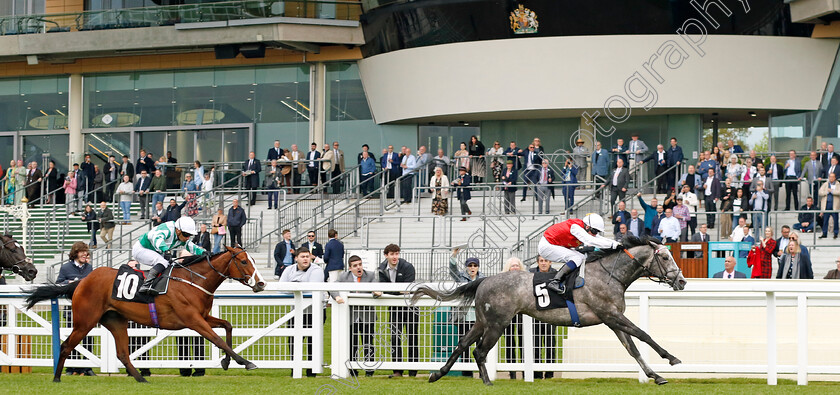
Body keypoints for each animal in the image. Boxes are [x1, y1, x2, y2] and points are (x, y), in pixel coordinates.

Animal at [23, 248, 266, 384]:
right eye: (244, 261)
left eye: (252, 260)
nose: (261, 283)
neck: (193, 280)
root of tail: (82, 281)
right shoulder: (193, 320)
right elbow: (216, 339)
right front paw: (245, 362)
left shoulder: (203, 317)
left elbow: (227, 326)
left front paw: (226, 361)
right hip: (85, 321)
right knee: (66, 346)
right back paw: (56, 378)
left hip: (115, 321)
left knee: (122, 353)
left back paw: (141, 378)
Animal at [414, 237, 688, 386]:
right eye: (665, 257)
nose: (682, 281)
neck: (609, 276)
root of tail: (484, 280)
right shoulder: (611, 315)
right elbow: (643, 335)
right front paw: (672, 359)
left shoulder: (612, 320)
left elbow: (632, 349)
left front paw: (655, 375)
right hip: (497, 324)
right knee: (479, 351)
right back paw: (487, 381)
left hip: (482, 321)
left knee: (462, 344)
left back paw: (437, 374)